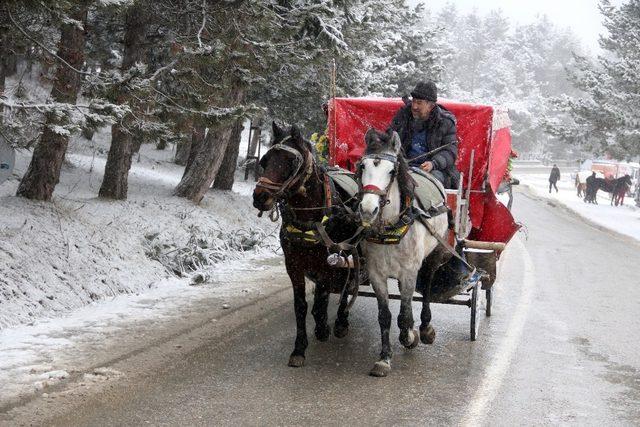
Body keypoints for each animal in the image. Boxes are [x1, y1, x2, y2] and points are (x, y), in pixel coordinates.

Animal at [254, 123, 362, 368]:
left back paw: (341, 322)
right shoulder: (293, 265)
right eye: (264, 160)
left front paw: (322, 328)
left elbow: (322, 296)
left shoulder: (327, 263)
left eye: (291, 162)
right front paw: (299, 348)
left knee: (349, 284)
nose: (260, 197)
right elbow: (301, 306)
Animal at [358, 130, 448, 378]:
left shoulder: (409, 273)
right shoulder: (377, 275)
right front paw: (384, 358)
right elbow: (385, 316)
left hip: (435, 253)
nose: (367, 210)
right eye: (362, 166)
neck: (391, 228)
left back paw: (425, 328)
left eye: (391, 171)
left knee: (427, 287)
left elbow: (404, 314)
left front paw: (409, 336)